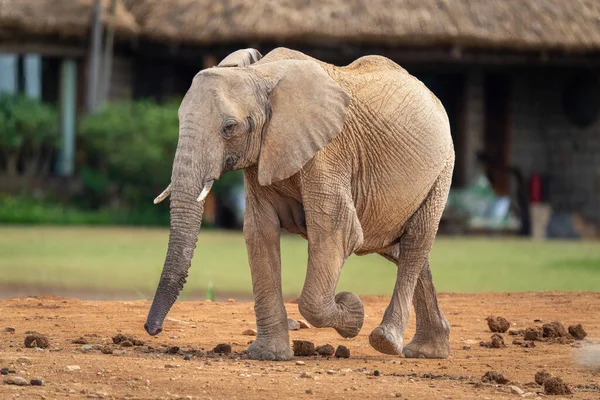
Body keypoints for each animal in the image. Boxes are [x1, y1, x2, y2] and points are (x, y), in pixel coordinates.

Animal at [144, 45, 454, 360]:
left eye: (229, 127)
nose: (152, 329)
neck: (259, 74)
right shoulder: (264, 155)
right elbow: (259, 233)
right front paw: (267, 355)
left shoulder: (328, 152)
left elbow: (338, 231)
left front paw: (352, 310)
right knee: (399, 248)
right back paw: (428, 351)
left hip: (443, 167)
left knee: (415, 242)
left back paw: (387, 341)